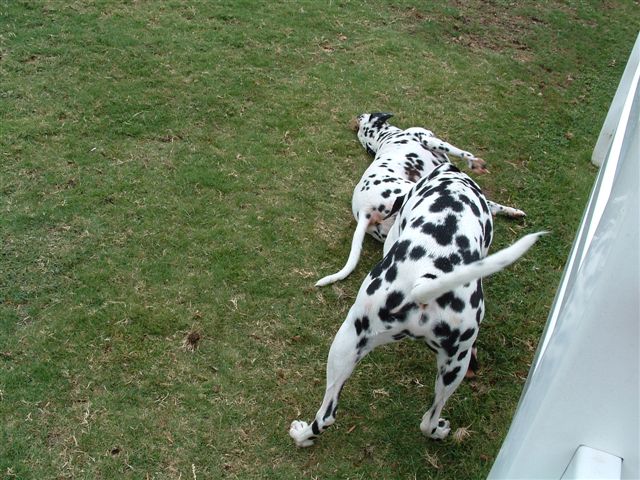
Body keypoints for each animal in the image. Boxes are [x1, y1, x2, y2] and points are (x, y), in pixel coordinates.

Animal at [315, 113, 526, 287]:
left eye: (361, 119)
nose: (357, 116)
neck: (385, 138)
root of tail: (365, 210)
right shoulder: (430, 139)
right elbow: (463, 152)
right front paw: (474, 162)